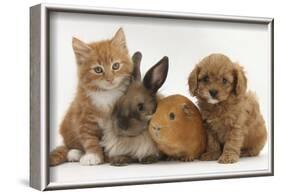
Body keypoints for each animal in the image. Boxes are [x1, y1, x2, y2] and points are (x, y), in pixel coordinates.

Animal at [49, 28, 132, 166]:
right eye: (98, 70)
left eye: (115, 66)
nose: (110, 79)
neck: (106, 94)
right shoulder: (84, 116)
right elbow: (89, 139)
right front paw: (93, 155)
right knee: (69, 146)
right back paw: (75, 153)